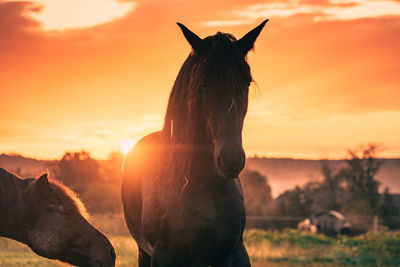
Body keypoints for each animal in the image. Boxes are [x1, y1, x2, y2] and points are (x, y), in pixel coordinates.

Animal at [120, 19, 268, 267]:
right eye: (204, 84)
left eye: (246, 82)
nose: (231, 160)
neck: (203, 184)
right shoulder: (163, 256)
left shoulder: (235, 253)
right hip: (144, 253)